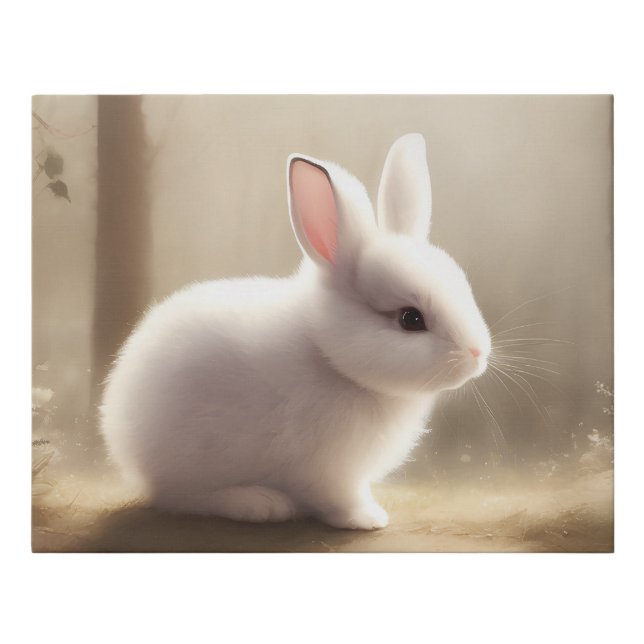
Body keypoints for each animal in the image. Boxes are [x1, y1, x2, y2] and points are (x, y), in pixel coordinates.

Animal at [100, 133, 491, 530]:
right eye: (411, 319)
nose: (477, 354)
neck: (332, 359)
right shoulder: (328, 473)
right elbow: (339, 501)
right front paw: (368, 519)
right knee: (180, 497)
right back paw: (258, 504)